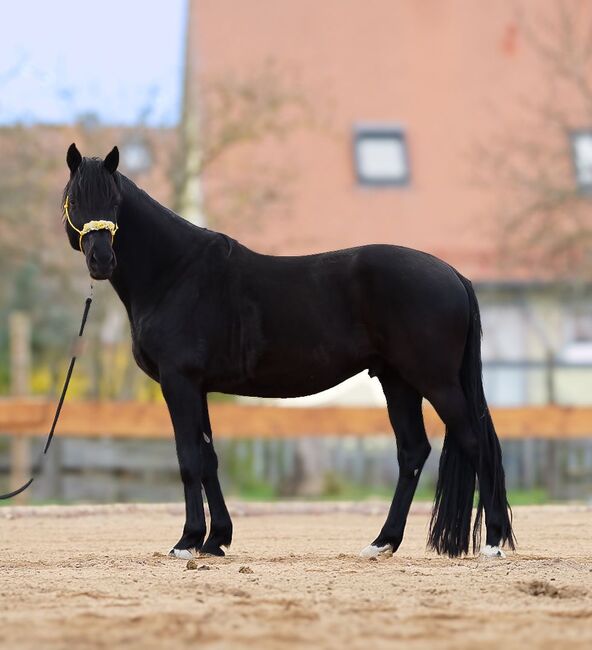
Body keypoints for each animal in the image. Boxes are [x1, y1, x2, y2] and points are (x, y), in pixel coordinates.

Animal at [61, 146, 512, 556]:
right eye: (75, 200)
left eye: (115, 202)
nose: (101, 260)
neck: (175, 273)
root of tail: (452, 274)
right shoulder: (197, 387)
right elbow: (208, 459)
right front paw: (216, 540)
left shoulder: (179, 381)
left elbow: (188, 459)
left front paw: (188, 541)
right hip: (397, 380)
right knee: (413, 451)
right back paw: (383, 542)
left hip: (435, 381)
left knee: (475, 442)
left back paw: (492, 543)